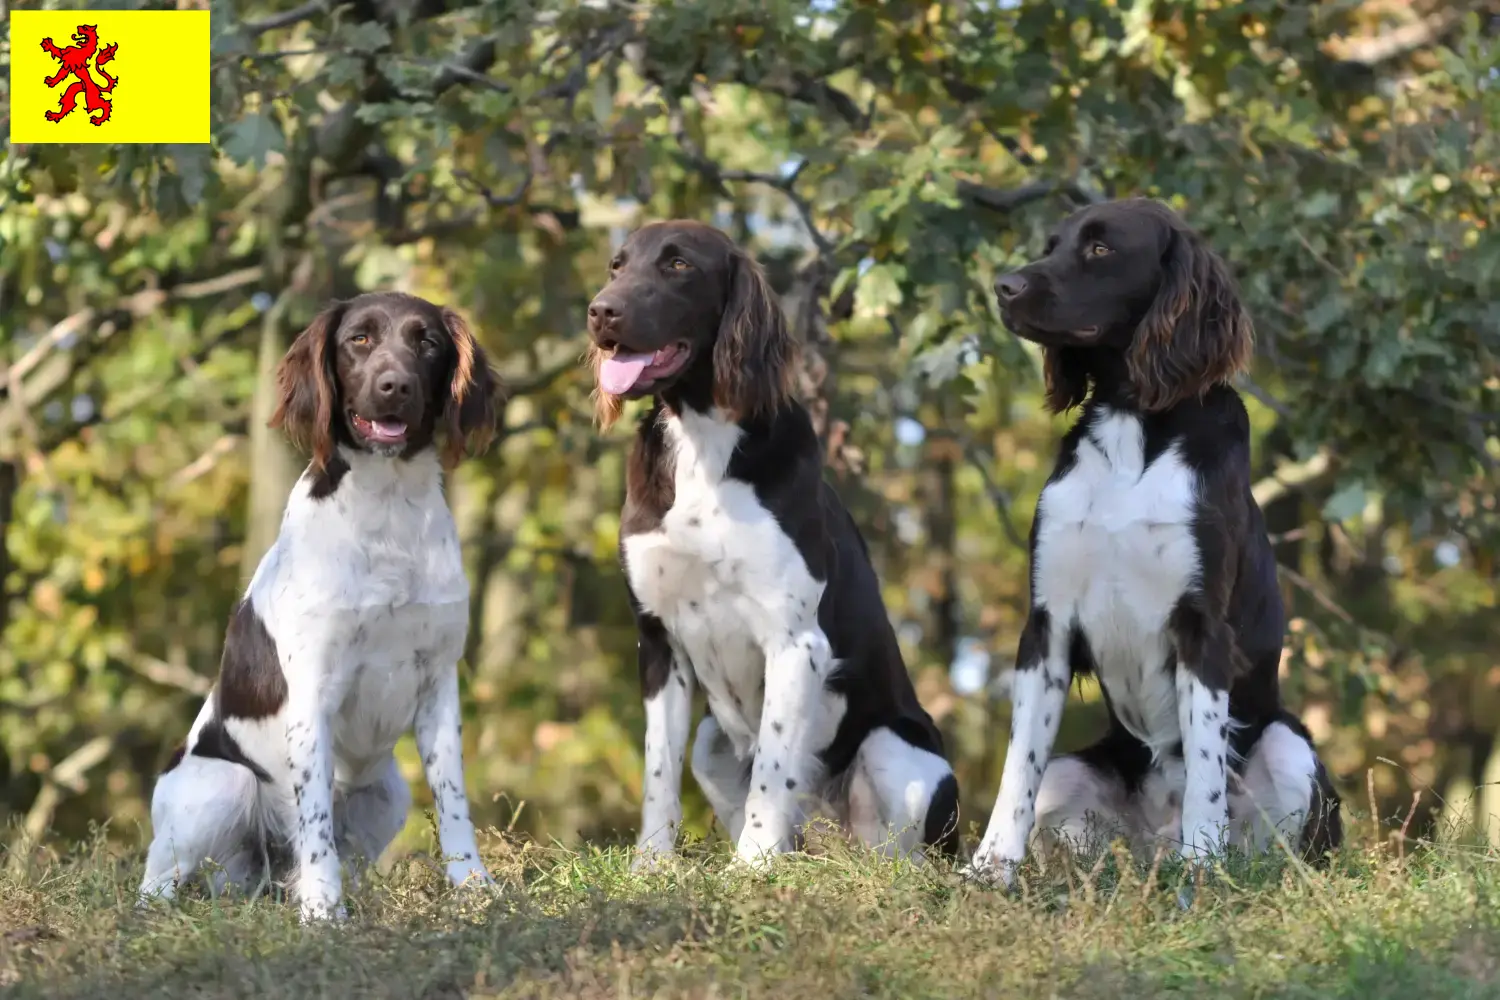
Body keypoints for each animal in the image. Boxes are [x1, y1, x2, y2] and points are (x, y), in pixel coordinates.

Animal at [136, 290, 498, 923]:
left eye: (427, 342)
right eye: (359, 339)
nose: (394, 386)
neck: (387, 508)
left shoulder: (438, 682)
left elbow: (453, 798)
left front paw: (473, 887)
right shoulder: (312, 691)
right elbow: (315, 820)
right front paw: (324, 912)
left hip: (387, 790)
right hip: (219, 787)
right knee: (156, 883)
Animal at [585, 218, 960, 869]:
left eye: (678, 265)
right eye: (617, 265)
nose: (601, 312)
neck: (703, 441)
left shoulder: (796, 641)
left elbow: (773, 763)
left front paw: (753, 865)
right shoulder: (658, 642)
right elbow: (659, 774)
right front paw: (652, 865)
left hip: (898, 751)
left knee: (899, 858)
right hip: (712, 740)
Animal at [966, 199, 1344, 887]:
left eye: (1100, 249)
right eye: (1052, 244)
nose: (1004, 286)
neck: (1132, 424)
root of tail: (1151, 845)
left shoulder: (1201, 628)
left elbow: (1204, 769)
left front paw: (1202, 866)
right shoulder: (1047, 624)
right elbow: (1018, 765)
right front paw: (990, 869)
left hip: (1290, 747)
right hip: (1074, 775)